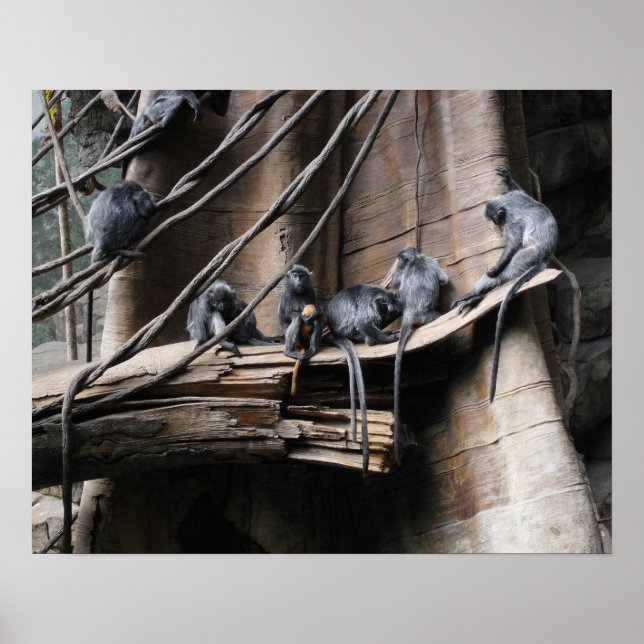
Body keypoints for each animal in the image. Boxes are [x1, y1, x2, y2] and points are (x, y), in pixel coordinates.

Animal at [278, 265, 323, 393]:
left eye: (302, 276)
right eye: (295, 275)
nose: (298, 280)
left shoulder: (310, 291)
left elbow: (318, 310)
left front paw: (316, 312)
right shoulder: (286, 293)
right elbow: (285, 315)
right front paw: (303, 317)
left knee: (318, 319)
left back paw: (312, 349)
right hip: (297, 341)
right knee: (296, 319)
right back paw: (288, 351)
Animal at [326, 284, 402, 473]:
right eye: (387, 309)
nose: (387, 313)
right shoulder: (371, 306)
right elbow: (363, 321)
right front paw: (388, 337)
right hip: (349, 328)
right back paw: (372, 340)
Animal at [451, 165, 559, 402]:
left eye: (496, 221)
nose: (497, 228)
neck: (508, 204)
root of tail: (545, 254)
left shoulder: (512, 220)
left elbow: (514, 242)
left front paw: (495, 268)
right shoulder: (516, 197)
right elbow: (522, 191)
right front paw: (508, 178)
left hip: (528, 255)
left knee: (506, 269)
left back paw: (473, 294)